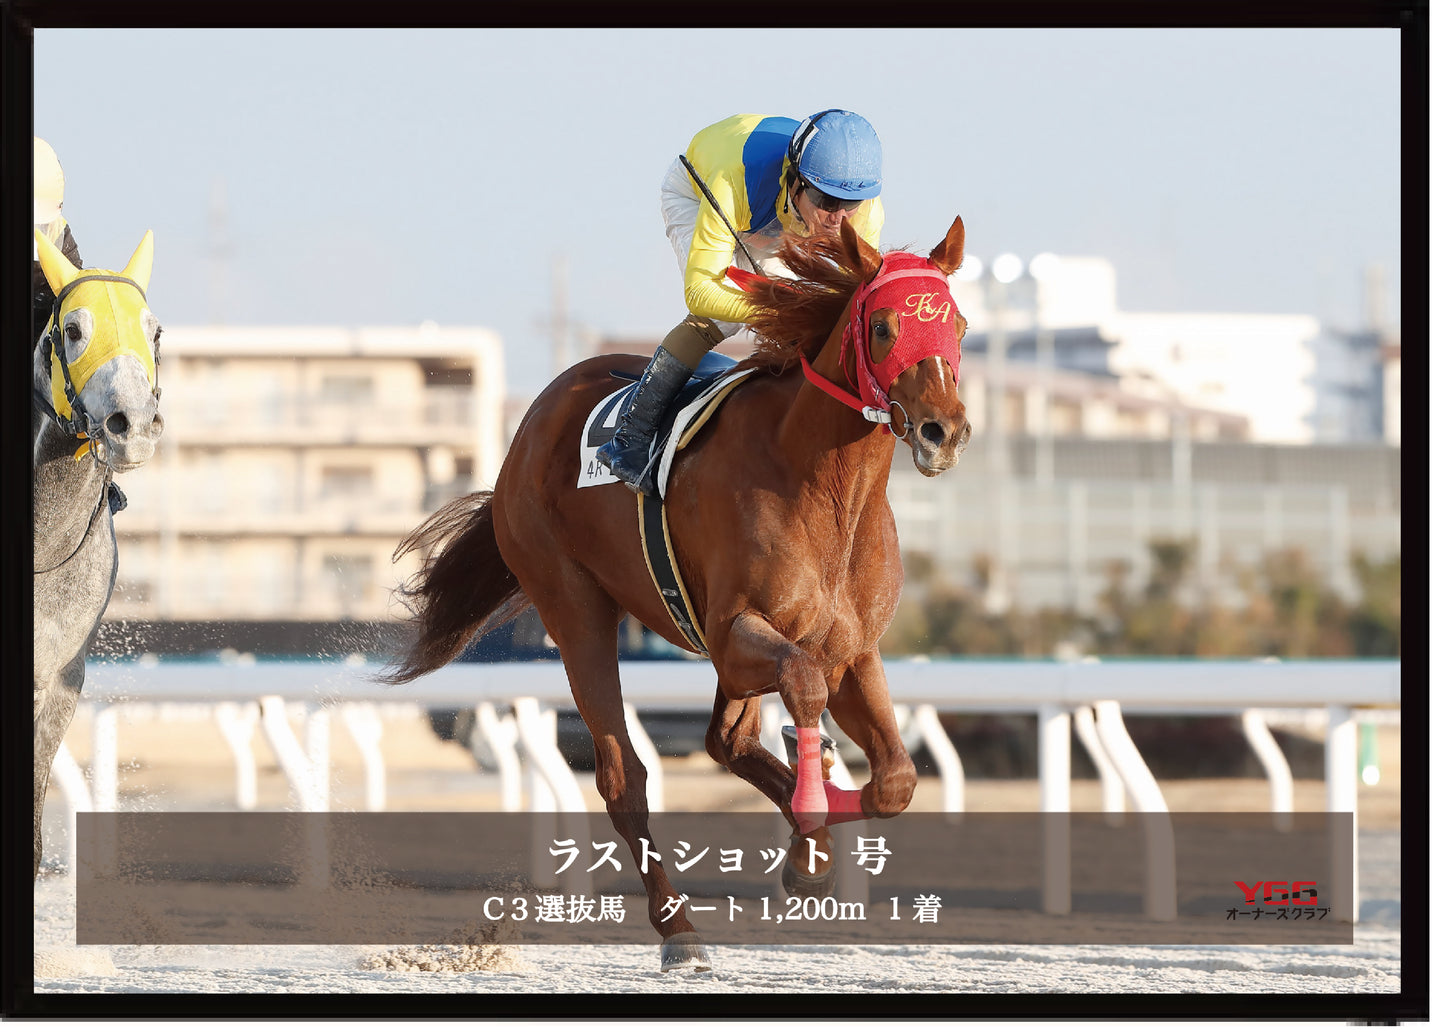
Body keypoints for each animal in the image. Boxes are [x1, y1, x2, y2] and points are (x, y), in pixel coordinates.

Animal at [386, 217, 971, 970]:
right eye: (882, 326)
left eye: (956, 323)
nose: (943, 431)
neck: (825, 489)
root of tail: (533, 421)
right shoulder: (735, 631)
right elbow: (803, 685)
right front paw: (808, 843)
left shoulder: (850, 647)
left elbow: (894, 779)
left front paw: (814, 830)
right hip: (572, 605)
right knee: (623, 776)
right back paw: (678, 927)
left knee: (725, 742)